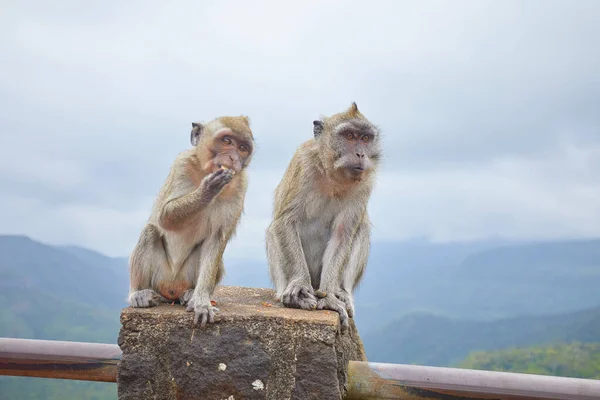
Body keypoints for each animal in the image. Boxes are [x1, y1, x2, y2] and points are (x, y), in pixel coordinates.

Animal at [127, 114, 254, 326]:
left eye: (243, 148)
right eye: (227, 141)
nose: (234, 158)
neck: (203, 170)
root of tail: (172, 288)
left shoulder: (241, 184)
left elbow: (216, 238)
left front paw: (201, 303)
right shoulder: (182, 163)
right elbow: (164, 217)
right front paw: (208, 190)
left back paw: (190, 294)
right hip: (159, 276)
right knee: (150, 231)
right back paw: (138, 293)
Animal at [266, 102, 382, 332]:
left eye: (365, 138)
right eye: (349, 136)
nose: (360, 154)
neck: (333, 175)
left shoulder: (364, 185)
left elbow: (343, 234)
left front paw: (330, 298)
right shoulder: (303, 164)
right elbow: (285, 221)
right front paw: (299, 286)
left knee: (361, 229)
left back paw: (342, 293)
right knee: (273, 231)